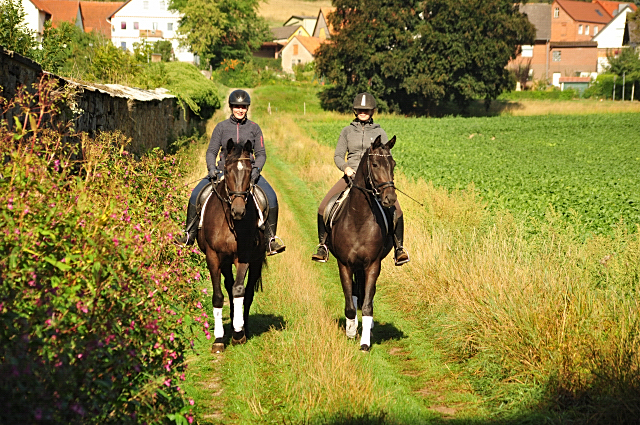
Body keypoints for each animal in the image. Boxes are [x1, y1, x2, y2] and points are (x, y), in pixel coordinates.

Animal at [195, 138, 264, 352]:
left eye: (250, 171)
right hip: (224, 262)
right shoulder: (213, 256)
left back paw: (243, 327)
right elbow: (219, 296)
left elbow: (239, 290)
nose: (238, 211)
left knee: (245, 292)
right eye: (227, 169)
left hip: (257, 260)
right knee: (228, 285)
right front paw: (218, 338)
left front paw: (238, 333)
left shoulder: (244, 256)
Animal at [328, 134, 398, 350]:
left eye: (393, 164)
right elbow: (350, 304)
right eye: (374, 164)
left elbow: (367, 305)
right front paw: (351, 331)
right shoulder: (344, 264)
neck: (358, 219)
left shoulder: (373, 265)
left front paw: (365, 341)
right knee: (354, 292)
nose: (390, 198)